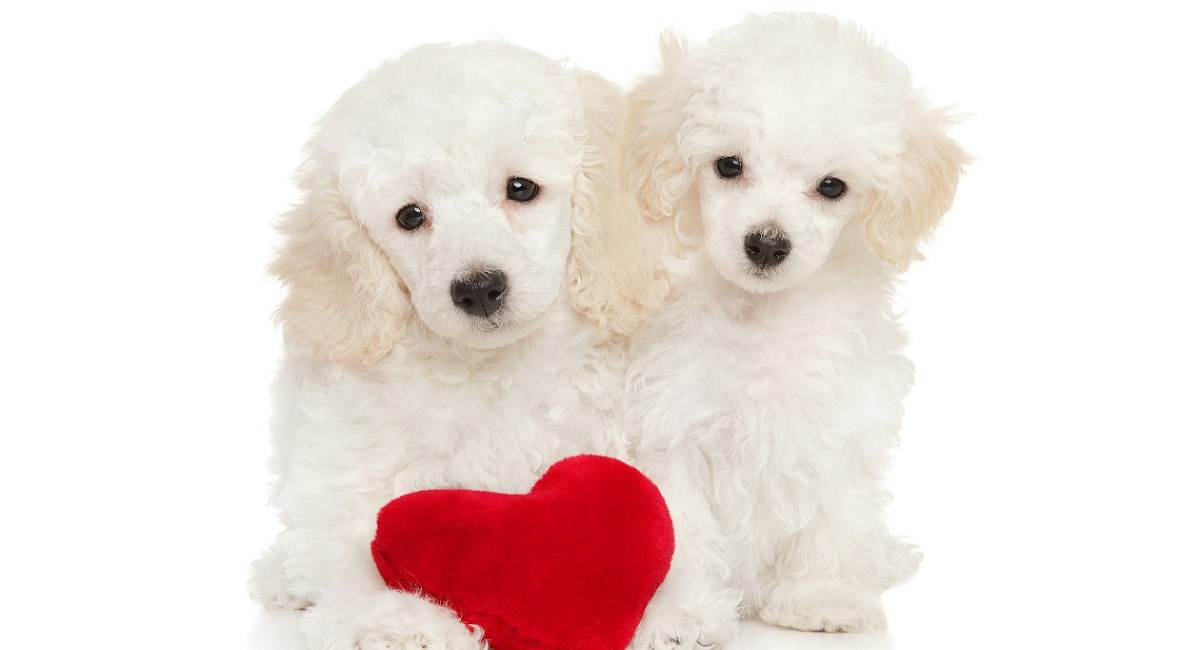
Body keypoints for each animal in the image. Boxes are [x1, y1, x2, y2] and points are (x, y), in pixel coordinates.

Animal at [250, 41, 667, 650]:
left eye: (521, 188)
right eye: (410, 216)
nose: (478, 288)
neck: (488, 369)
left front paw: (678, 610)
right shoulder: (349, 474)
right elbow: (349, 558)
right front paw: (404, 621)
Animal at [624, 12, 969, 642]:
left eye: (832, 186)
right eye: (728, 166)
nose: (766, 243)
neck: (764, 315)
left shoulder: (843, 424)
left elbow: (836, 517)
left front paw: (823, 599)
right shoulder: (671, 430)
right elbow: (681, 537)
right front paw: (684, 615)